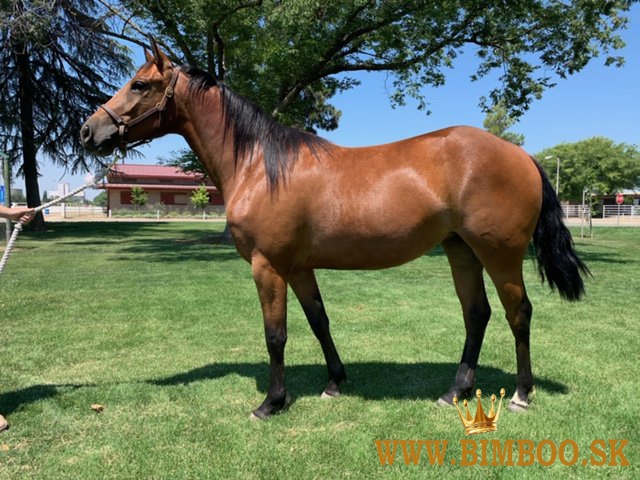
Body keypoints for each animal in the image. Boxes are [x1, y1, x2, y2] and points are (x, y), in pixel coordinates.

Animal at [81, 43, 592, 418]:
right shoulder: (298, 267)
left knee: (517, 313)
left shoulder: (269, 267)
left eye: (140, 84)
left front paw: (272, 403)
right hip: (460, 250)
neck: (261, 165)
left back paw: (522, 394)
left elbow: (276, 334)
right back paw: (456, 392)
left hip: (499, 254)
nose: (88, 131)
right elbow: (318, 320)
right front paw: (334, 383)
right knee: (477, 314)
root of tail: (520, 154)